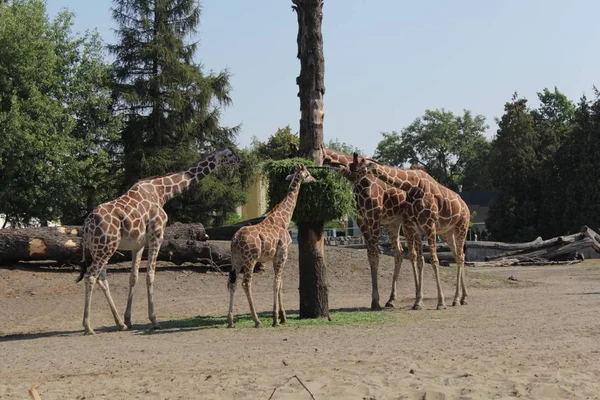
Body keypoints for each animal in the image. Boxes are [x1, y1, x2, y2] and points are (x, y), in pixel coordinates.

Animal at [78, 147, 243, 334]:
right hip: (106, 247)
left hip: (99, 248)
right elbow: (150, 275)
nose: (241, 161)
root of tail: (87, 224)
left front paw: (129, 319)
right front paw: (154, 320)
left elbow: (133, 277)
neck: (162, 192)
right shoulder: (157, 235)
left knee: (102, 279)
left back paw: (119, 323)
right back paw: (88, 326)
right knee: (91, 276)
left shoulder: (138, 244)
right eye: (229, 154)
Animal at [226, 163, 318, 328]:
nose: (314, 180)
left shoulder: (276, 258)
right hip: (250, 260)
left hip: (235, 260)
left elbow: (280, 284)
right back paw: (257, 320)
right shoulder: (282, 255)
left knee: (233, 284)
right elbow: (276, 284)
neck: (284, 219)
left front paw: (282, 317)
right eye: (307, 173)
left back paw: (230, 321)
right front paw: (277, 318)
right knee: (246, 283)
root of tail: (235, 240)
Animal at [354, 153, 472, 310]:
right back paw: (462, 298)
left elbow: (434, 260)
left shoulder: (429, 225)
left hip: (461, 227)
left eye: (360, 168)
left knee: (460, 257)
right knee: (459, 255)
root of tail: (466, 207)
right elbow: (421, 261)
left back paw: (457, 299)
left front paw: (440, 302)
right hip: (448, 232)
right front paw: (418, 302)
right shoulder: (417, 228)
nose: (355, 182)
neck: (412, 186)